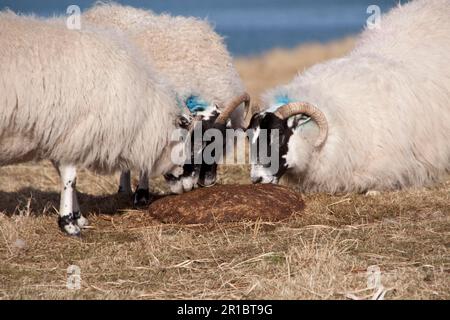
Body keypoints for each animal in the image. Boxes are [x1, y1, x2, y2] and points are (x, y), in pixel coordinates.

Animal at [0, 11, 192, 235]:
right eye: (184, 137)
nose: (190, 187)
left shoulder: (62, 136)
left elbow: (66, 177)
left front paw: (78, 217)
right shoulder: (74, 130)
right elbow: (70, 178)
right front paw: (69, 224)